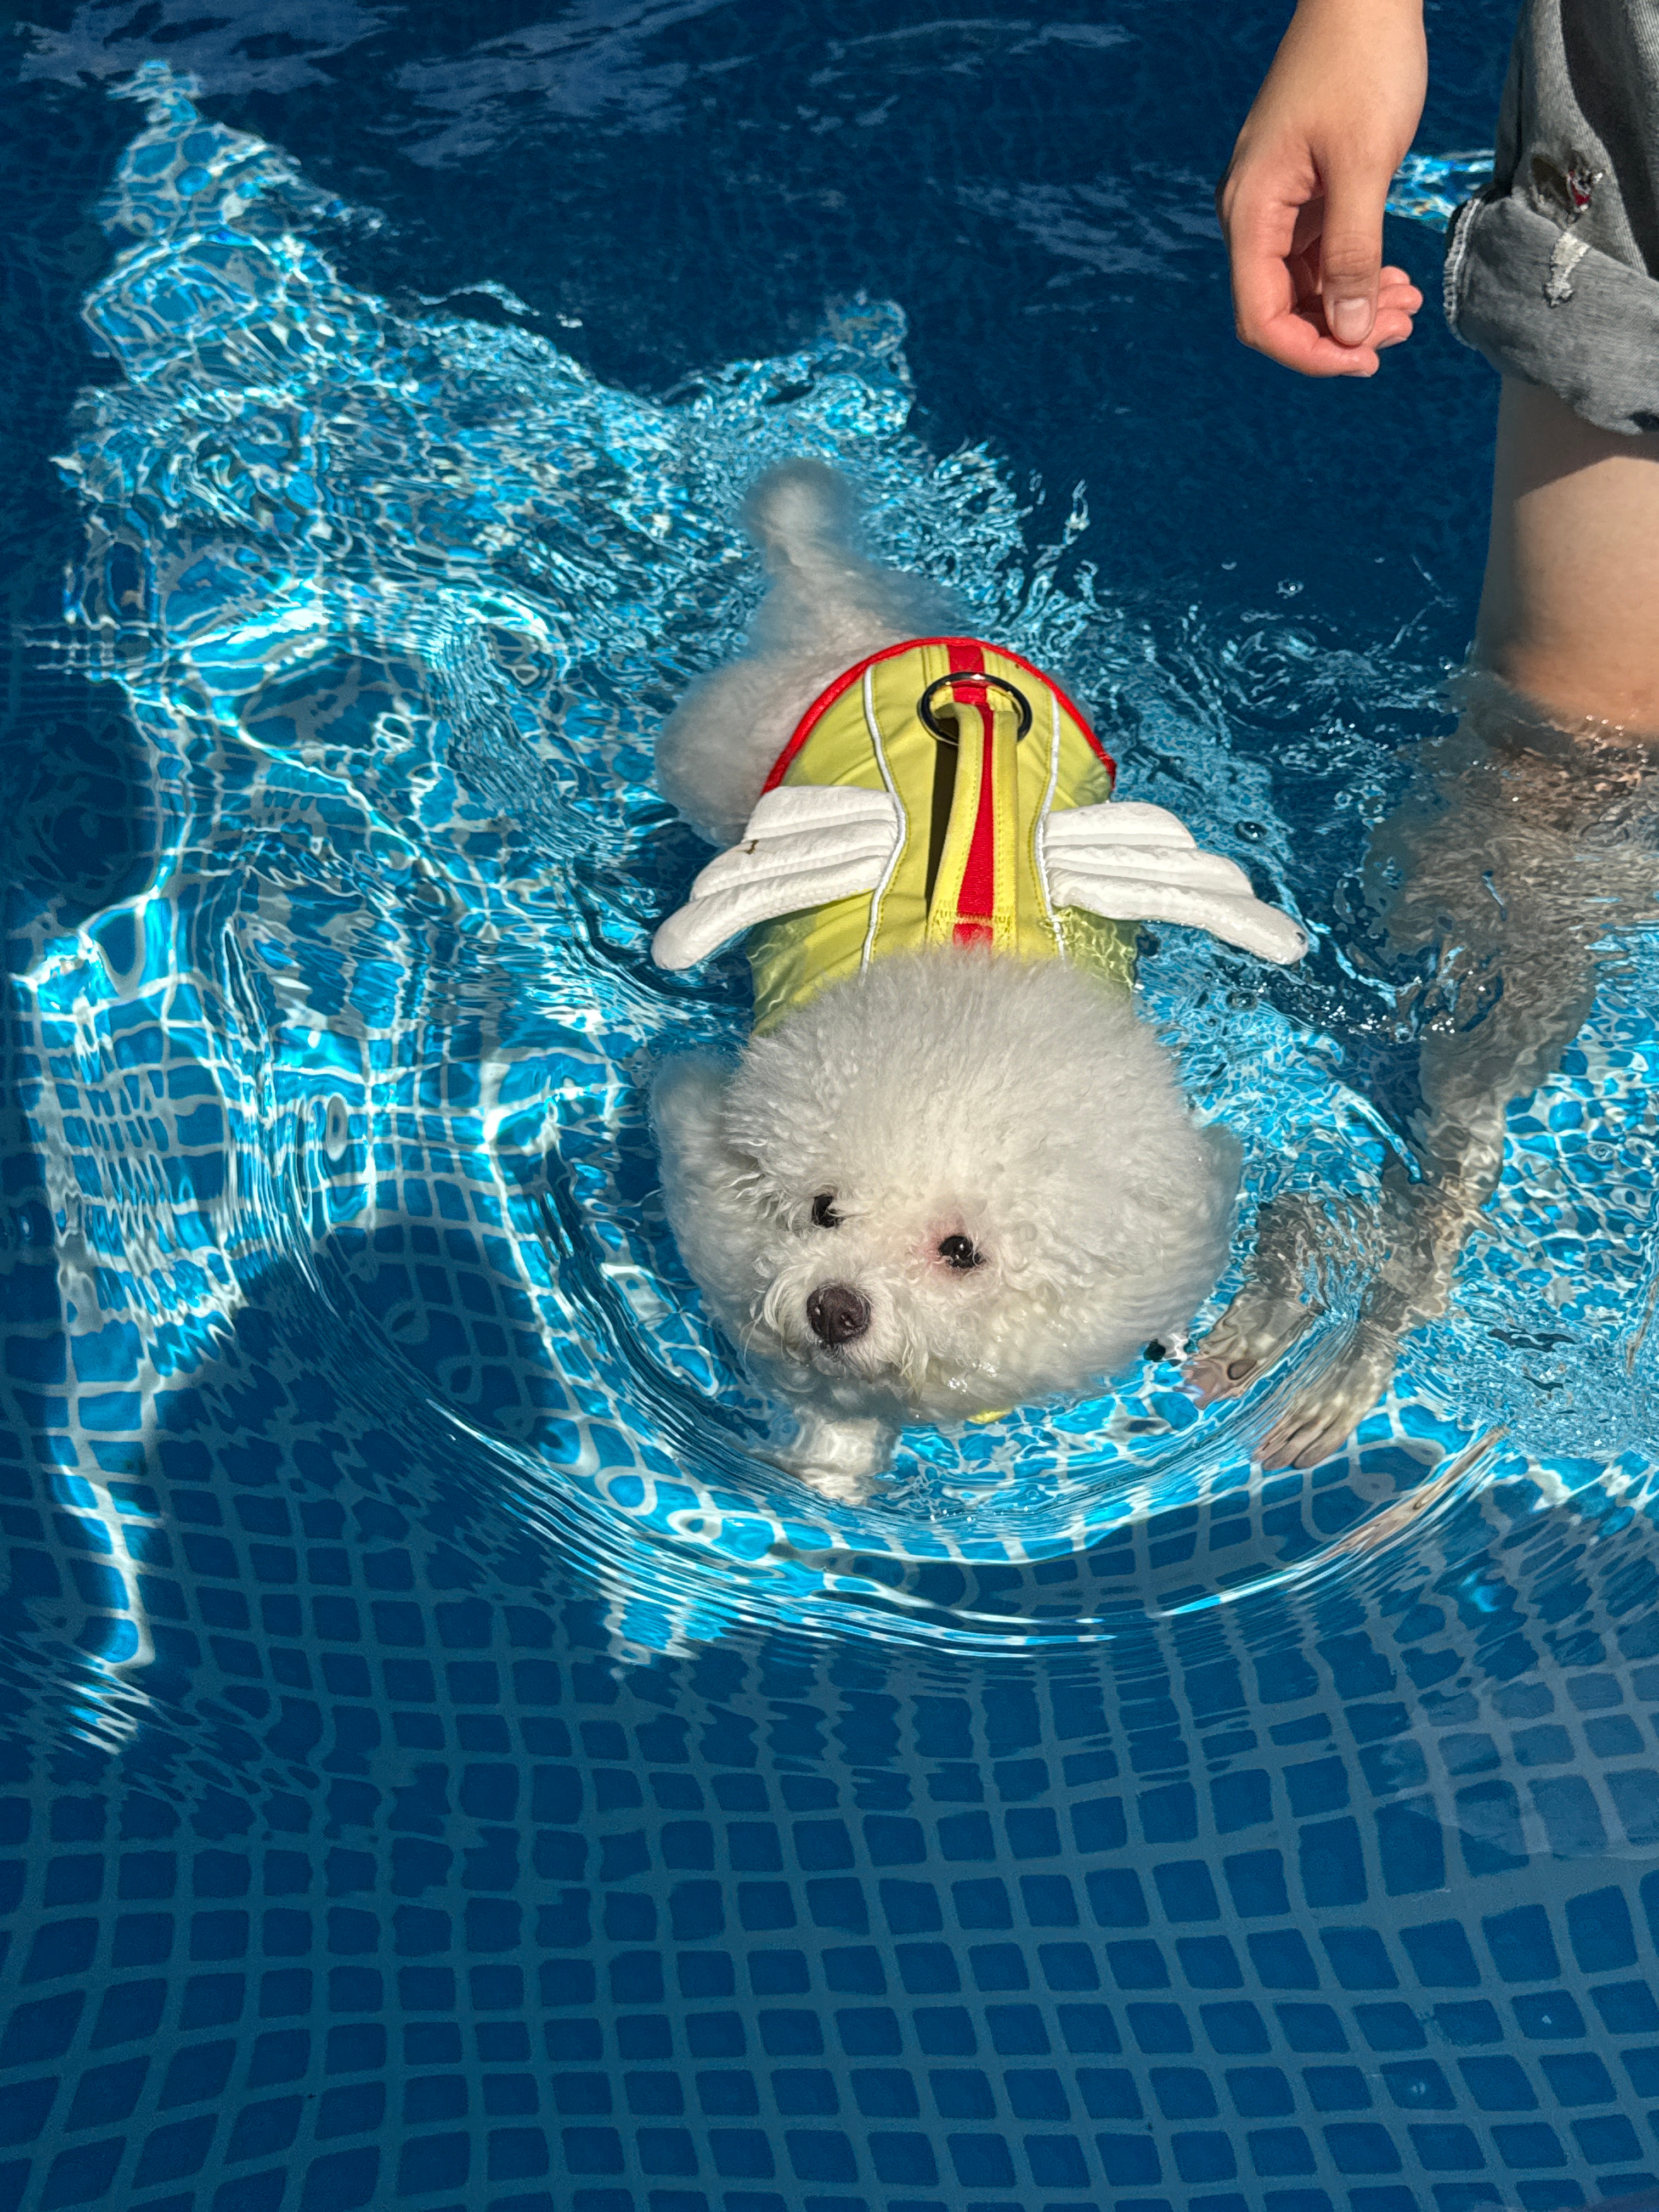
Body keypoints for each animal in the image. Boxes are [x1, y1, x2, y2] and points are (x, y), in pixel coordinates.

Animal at [648, 462, 1306, 1495]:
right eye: (822, 1209)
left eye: (960, 1251)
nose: (835, 1307)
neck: (964, 961)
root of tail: (861, 634)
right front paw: (828, 1478)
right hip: (718, 765)